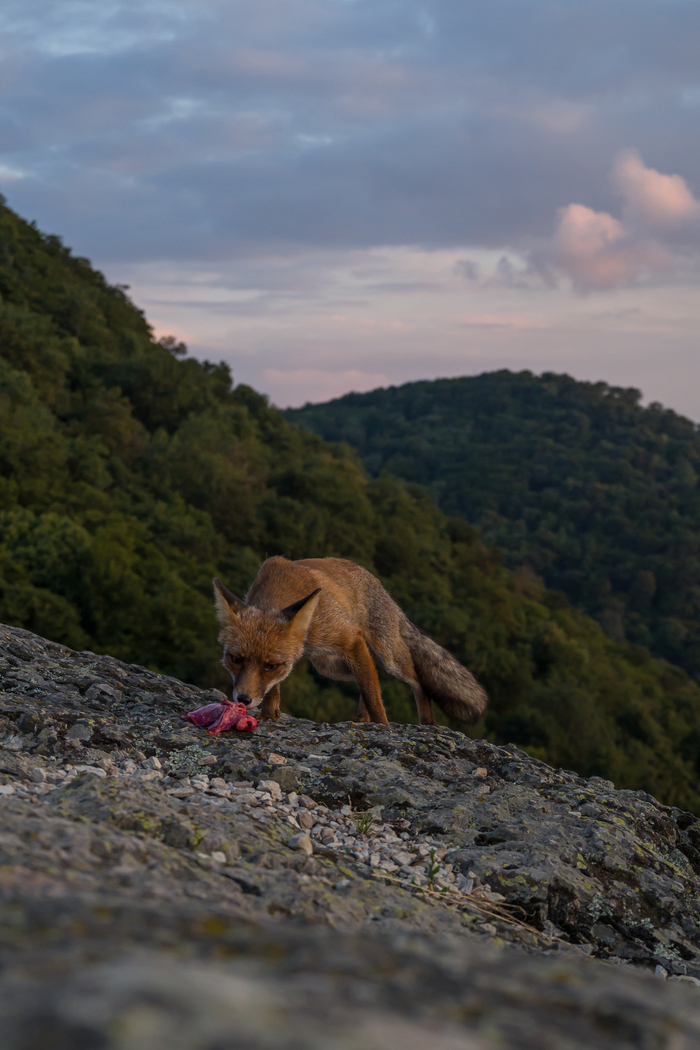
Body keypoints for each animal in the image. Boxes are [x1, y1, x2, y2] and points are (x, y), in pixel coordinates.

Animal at [213, 555, 487, 728]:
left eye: (271, 666)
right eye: (235, 659)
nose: (243, 700)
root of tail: (376, 582)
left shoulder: (350, 637)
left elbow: (374, 696)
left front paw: (383, 728)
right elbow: (274, 688)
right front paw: (270, 714)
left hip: (388, 656)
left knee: (415, 680)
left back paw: (427, 720)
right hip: (329, 666)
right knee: (366, 678)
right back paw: (362, 717)